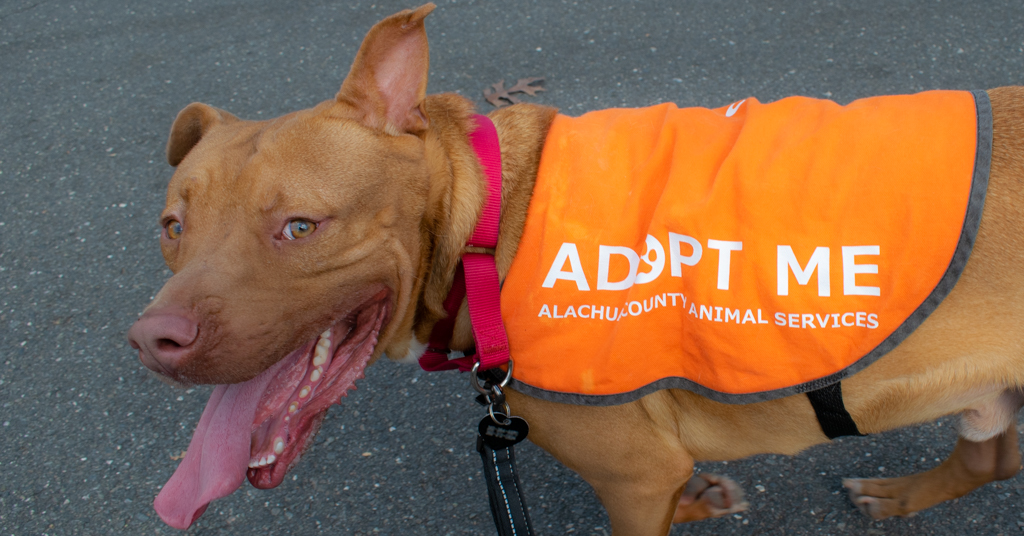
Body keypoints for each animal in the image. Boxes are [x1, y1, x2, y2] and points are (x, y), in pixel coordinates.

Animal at [130, 3, 1024, 532]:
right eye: (173, 227)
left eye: (299, 227)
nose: (152, 341)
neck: (488, 224)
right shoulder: (651, 474)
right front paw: (705, 501)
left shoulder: (634, 476)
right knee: (992, 453)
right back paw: (900, 496)